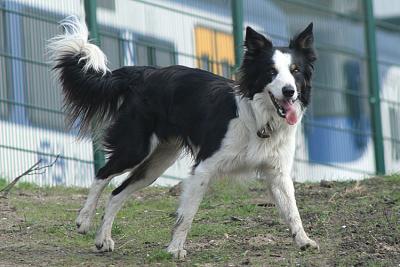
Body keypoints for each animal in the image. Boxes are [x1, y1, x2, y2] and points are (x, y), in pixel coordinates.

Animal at [49, 15, 318, 258]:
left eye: (295, 71)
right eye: (271, 72)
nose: (289, 91)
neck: (259, 120)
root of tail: (144, 73)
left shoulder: (278, 173)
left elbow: (292, 211)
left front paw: (303, 240)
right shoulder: (203, 169)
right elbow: (187, 215)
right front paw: (175, 249)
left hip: (157, 163)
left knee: (117, 194)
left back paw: (103, 239)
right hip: (136, 148)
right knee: (102, 175)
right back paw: (84, 220)